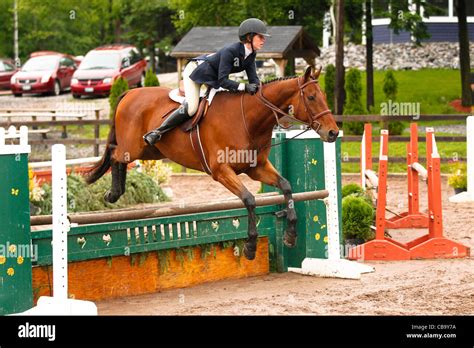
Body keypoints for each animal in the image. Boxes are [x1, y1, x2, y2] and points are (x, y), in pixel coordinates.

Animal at [85, 66, 336, 260]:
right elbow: (249, 200)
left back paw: (115, 192)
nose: (333, 132)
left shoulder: (257, 168)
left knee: (118, 156)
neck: (249, 119)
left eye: (324, 95)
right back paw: (111, 192)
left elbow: (286, 186)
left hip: (150, 151)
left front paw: (290, 234)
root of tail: (129, 92)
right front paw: (250, 246)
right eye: (311, 97)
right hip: (134, 148)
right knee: (114, 154)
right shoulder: (221, 171)